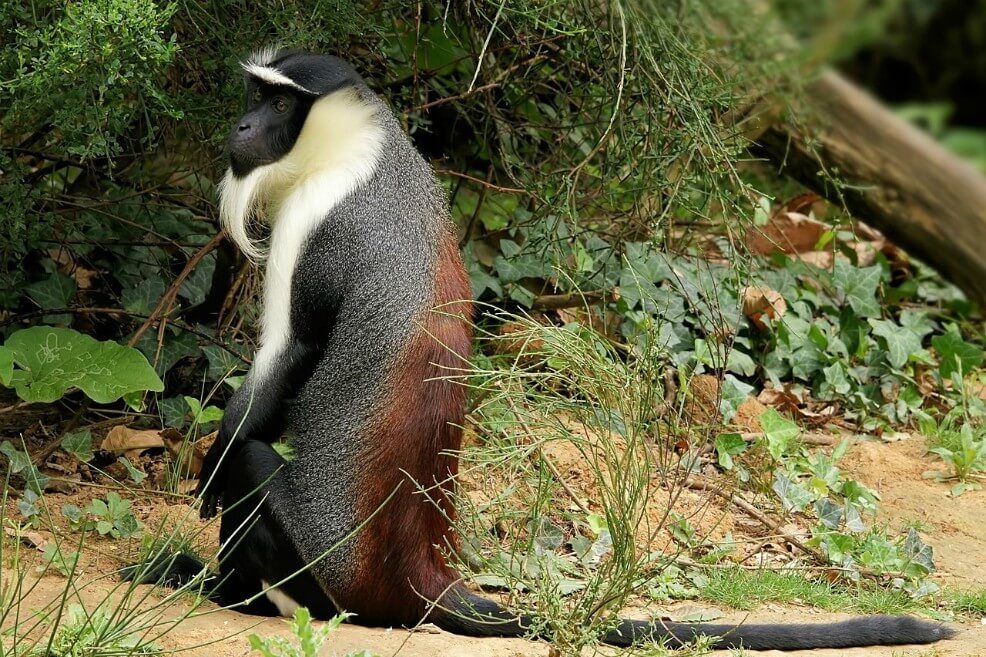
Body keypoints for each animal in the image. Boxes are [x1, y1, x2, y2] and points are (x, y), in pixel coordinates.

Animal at [124, 49, 954, 651]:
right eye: (254, 94)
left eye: (281, 104)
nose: (242, 128)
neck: (359, 150)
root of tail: (415, 575)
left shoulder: (315, 224)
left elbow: (285, 361)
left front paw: (209, 468)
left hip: (321, 569)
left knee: (256, 468)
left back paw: (216, 588)